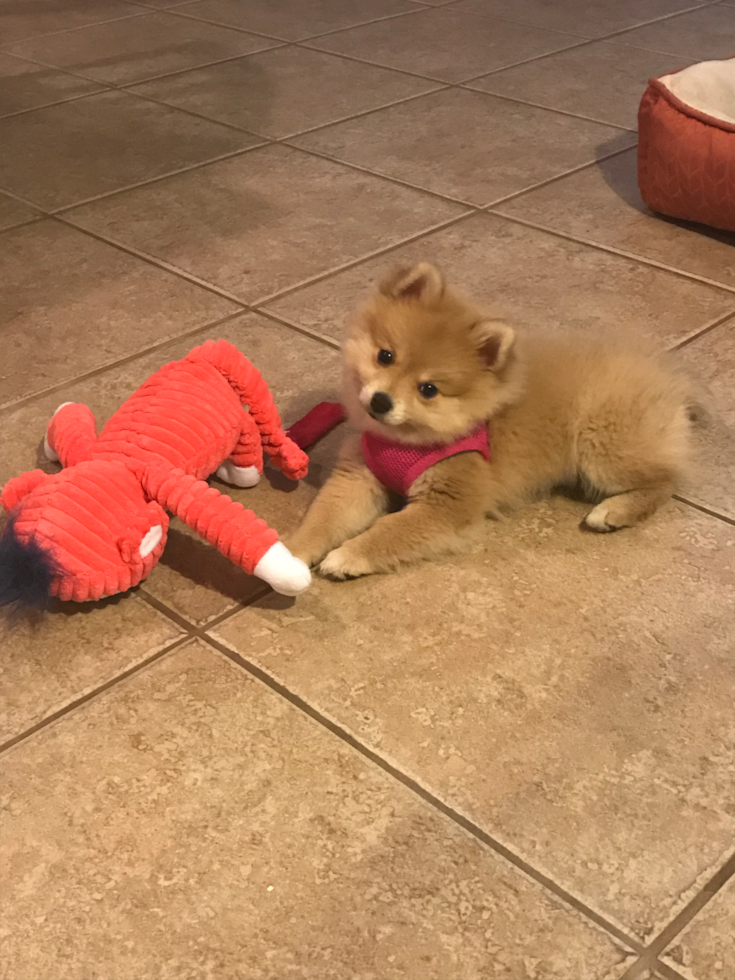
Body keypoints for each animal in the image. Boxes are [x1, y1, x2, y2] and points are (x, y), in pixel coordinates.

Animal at [286, 262, 700, 580]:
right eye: (385, 356)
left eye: (428, 389)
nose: (381, 401)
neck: (406, 440)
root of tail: (668, 378)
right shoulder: (359, 477)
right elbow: (324, 518)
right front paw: (291, 553)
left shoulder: (450, 504)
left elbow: (391, 529)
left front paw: (347, 555)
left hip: (602, 447)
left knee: (666, 481)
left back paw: (613, 511)